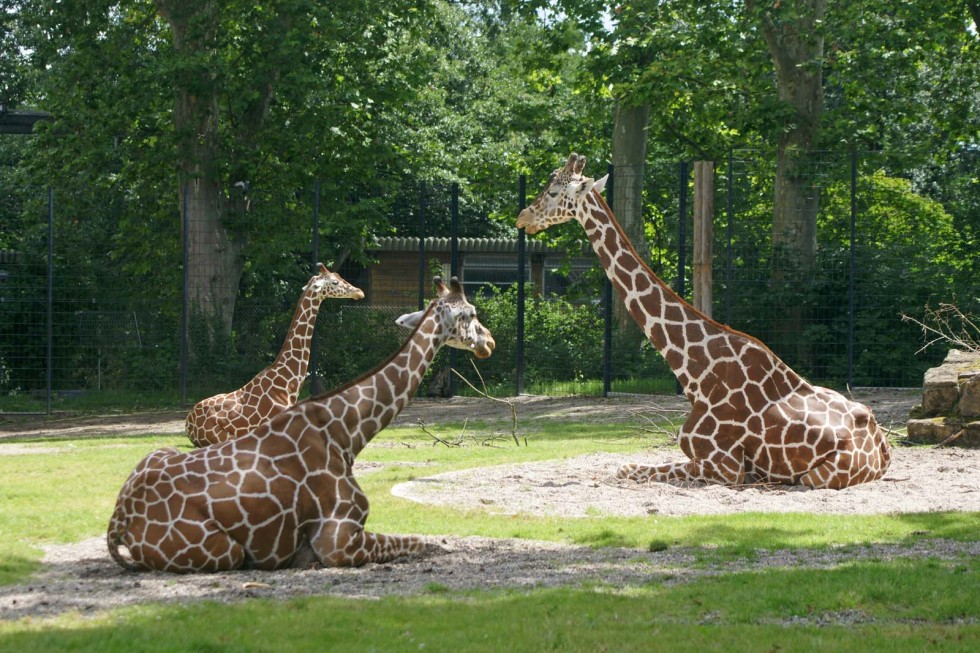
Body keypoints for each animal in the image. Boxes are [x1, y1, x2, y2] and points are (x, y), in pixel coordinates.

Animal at [516, 154, 892, 488]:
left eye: (553, 192)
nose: (523, 217)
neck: (695, 372)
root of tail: (883, 447)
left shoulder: (724, 467)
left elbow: (625, 469)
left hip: (820, 476)